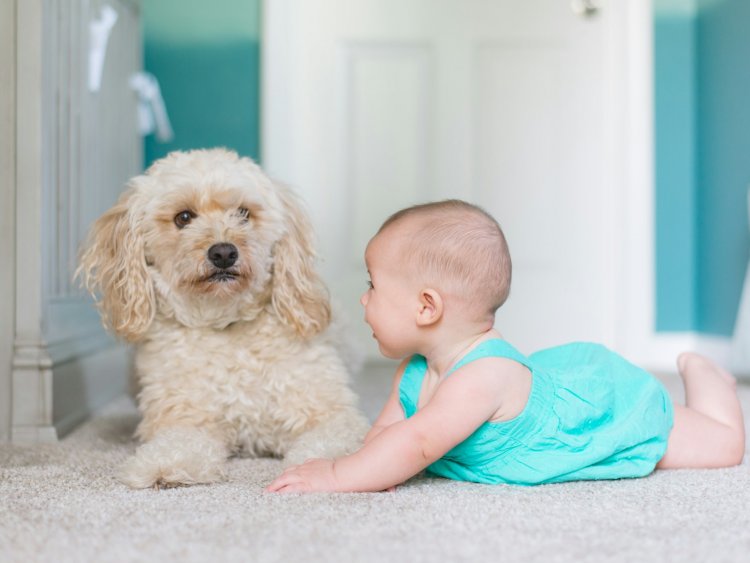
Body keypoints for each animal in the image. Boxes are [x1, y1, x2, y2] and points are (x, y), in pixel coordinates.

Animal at [77, 149, 370, 490]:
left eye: (243, 213)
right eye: (183, 217)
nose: (223, 253)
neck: (225, 324)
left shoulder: (331, 414)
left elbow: (331, 442)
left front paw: (319, 468)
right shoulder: (185, 418)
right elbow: (178, 443)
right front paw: (164, 465)